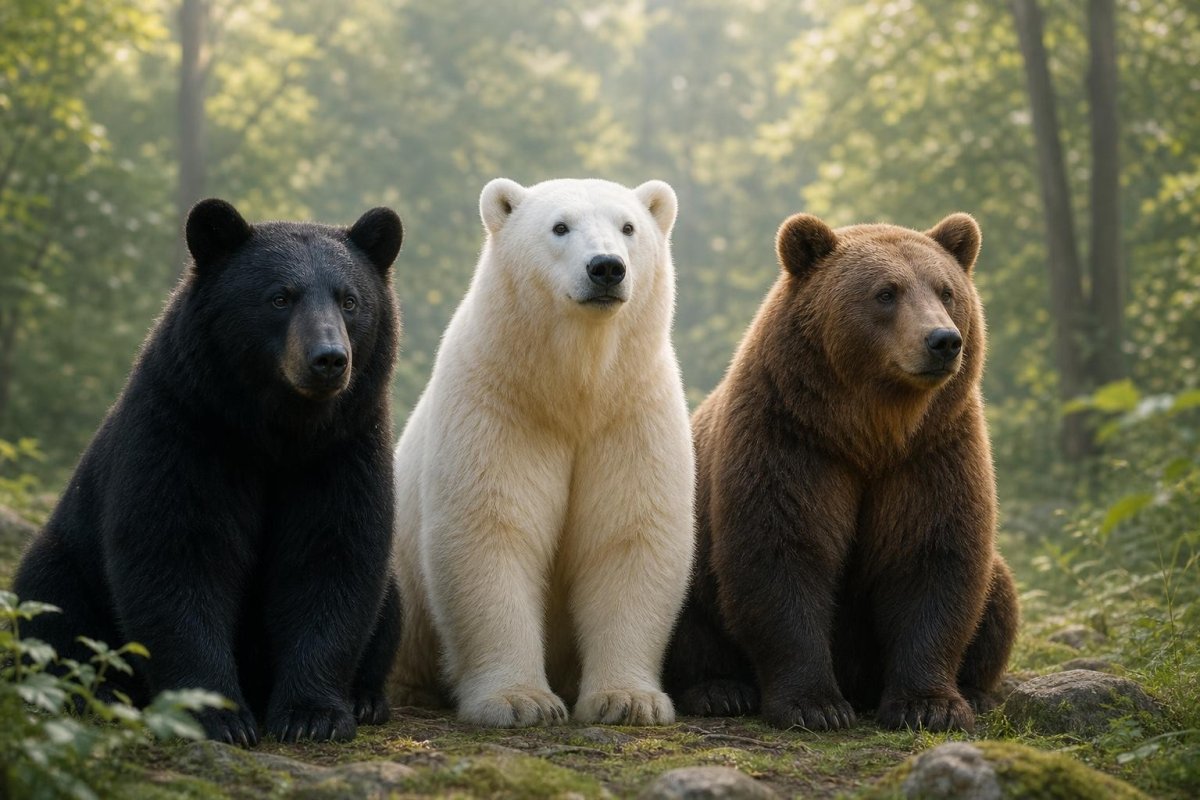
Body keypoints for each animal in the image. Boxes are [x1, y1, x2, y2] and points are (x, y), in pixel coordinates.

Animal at [13, 198, 405, 745]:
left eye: (350, 301)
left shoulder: (344, 446)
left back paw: (368, 700)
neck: (278, 430)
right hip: (65, 556)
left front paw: (313, 716)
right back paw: (100, 692)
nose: (329, 359)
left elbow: (334, 557)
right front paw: (215, 714)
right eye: (279, 297)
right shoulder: (185, 427)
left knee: (391, 604)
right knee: (50, 607)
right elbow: (178, 552)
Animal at [388, 178, 695, 728]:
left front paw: (627, 700)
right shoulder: (500, 403)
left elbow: (628, 533)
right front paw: (520, 701)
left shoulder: (631, 411)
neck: (573, 388)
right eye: (560, 226)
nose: (606, 267)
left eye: (629, 226)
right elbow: (492, 529)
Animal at [663, 212, 1018, 733]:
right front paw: (816, 705)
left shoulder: (932, 451)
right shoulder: (791, 443)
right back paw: (719, 690)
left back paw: (976, 691)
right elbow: (783, 555)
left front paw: (930, 705)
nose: (943, 340)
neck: (869, 432)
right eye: (886, 292)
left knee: (998, 590)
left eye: (946, 290)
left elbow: (932, 558)